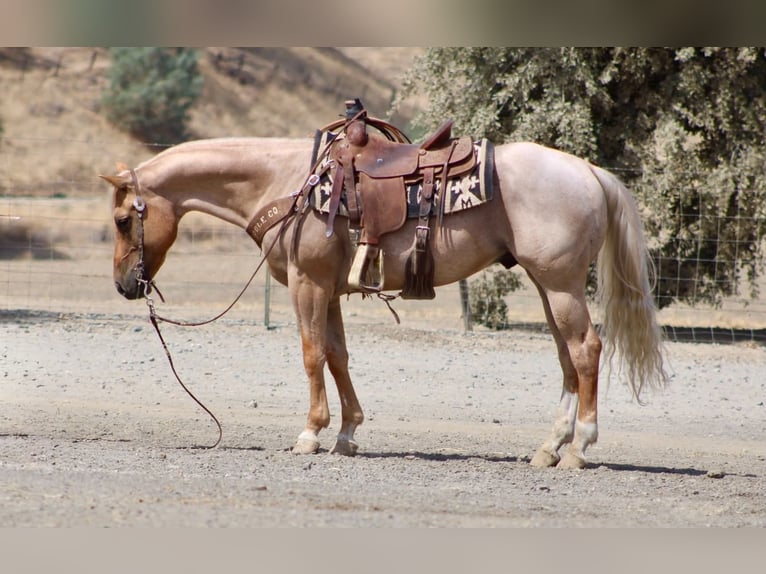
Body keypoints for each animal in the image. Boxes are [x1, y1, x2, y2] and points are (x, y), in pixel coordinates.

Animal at [102, 134, 667, 469]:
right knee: (568, 359)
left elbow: (311, 355)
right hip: (550, 287)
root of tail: (589, 172)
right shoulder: (328, 290)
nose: (124, 285)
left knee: (586, 350)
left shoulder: (308, 285)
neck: (287, 183)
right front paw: (348, 433)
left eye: (123, 220)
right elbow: (337, 356)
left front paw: (311, 434)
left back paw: (579, 448)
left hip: (561, 285)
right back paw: (549, 448)